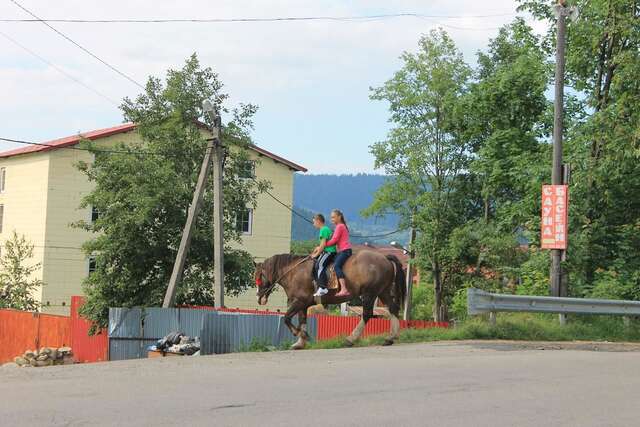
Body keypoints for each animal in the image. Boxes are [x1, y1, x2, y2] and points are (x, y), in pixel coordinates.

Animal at [252, 251, 402, 352]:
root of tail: (384, 257)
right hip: (383, 292)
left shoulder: (299, 301)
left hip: (369, 294)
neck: (293, 272)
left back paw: (350, 339)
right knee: (393, 308)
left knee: (367, 314)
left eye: (259, 277)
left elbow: (286, 318)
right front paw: (300, 342)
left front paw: (299, 334)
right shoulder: (303, 305)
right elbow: (302, 320)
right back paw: (390, 338)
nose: (259, 297)